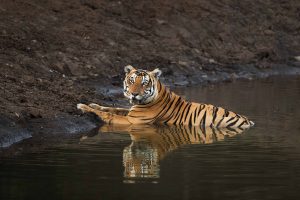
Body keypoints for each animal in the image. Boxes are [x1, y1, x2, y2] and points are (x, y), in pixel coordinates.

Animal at [77, 65, 253, 130]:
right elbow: (112, 108)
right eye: (132, 81)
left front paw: (82, 106)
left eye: (144, 83)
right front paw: (93, 104)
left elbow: (108, 114)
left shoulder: (132, 121)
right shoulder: (130, 112)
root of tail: (249, 121)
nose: (133, 93)